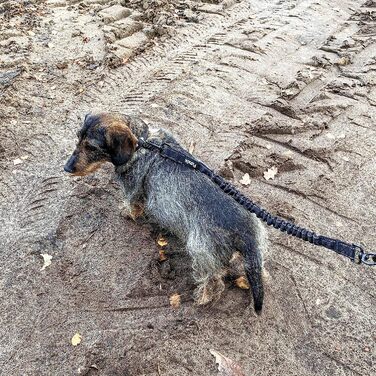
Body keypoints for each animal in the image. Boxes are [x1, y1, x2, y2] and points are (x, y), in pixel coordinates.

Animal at [64, 113, 268, 312]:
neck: (143, 142)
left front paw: (125, 212)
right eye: (78, 138)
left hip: (201, 252)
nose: (66, 168)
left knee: (213, 282)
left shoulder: (132, 189)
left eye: (91, 147)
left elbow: (131, 204)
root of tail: (246, 231)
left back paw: (202, 297)